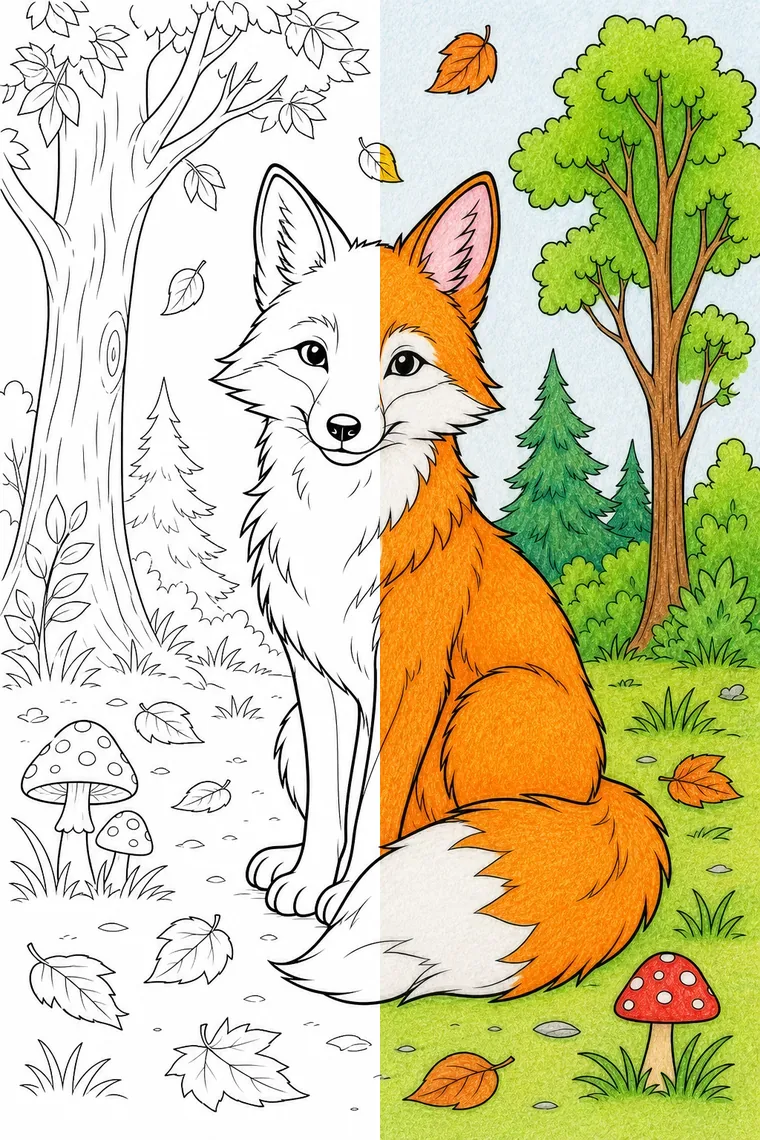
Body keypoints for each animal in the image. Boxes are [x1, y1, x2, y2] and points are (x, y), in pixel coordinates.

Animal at [214, 164, 669, 1003]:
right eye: (314, 353)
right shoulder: (316, 681)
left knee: (461, 816)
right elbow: (332, 805)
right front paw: (310, 878)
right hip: (293, 731)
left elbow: (374, 804)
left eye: (404, 364)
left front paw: (347, 896)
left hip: (489, 704)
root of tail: (604, 793)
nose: (344, 429)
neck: (341, 530)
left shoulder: (408, 675)